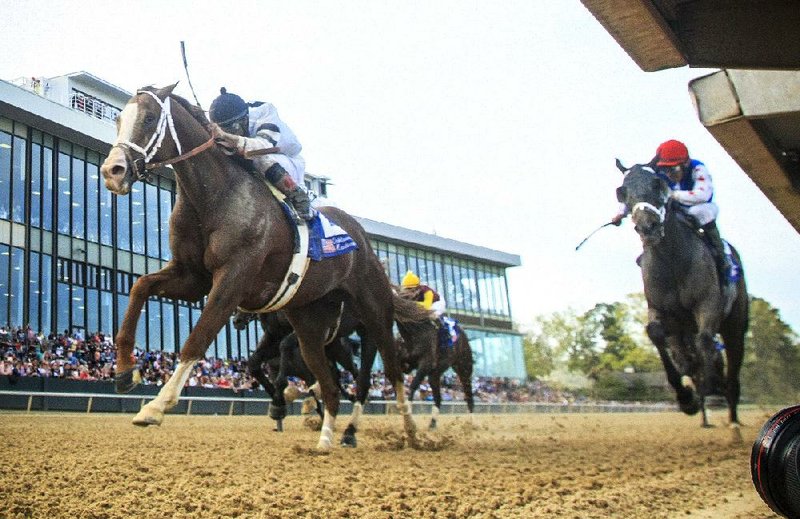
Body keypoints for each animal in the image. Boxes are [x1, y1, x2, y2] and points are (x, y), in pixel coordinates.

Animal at [101, 85, 418, 450]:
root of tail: (362, 239)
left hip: (374, 314)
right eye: (118, 119)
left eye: (150, 118)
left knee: (388, 373)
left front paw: (155, 406)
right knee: (331, 384)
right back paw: (325, 440)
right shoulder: (192, 277)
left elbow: (197, 339)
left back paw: (410, 432)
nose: (112, 171)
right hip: (309, 322)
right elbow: (140, 287)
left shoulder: (233, 278)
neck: (215, 196)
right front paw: (125, 371)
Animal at [394, 292, 476, 430]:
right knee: (438, 397)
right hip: (435, 374)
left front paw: (407, 409)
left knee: (468, 394)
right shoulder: (404, 361)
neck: (414, 333)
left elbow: (414, 384)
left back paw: (473, 422)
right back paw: (432, 423)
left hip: (464, 367)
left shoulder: (426, 364)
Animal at [616, 165, 748, 428]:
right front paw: (686, 398)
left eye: (657, 183)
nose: (647, 227)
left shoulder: (707, 304)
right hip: (683, 326)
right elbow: (656, 334)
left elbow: (705, 341)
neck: (671, 261)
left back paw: (732, 418)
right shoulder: (658, 308)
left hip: (735, 327)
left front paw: (708, 385)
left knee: (732, 372)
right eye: (622, 192)